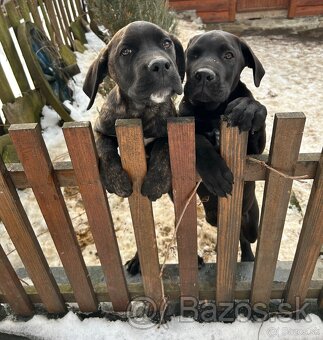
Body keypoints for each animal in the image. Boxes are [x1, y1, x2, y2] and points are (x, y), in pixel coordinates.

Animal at [83, 21, 185, 272]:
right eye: (126, 52)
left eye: (166, 43)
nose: (161, 65)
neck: (142, 111)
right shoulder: (101, 129)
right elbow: (104, 148)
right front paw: (116, 180)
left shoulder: (171, 128)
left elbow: (163, 147)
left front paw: (155, 182)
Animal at [180, 31, 268, 260]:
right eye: (193, 55)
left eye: (228, 55)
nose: (203, 75)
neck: (212, 110)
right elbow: (198, 139)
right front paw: (215, 173)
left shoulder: (254, 154)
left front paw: (248, 109)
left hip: (252, 222)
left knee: (245, 238)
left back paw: (248, 258)